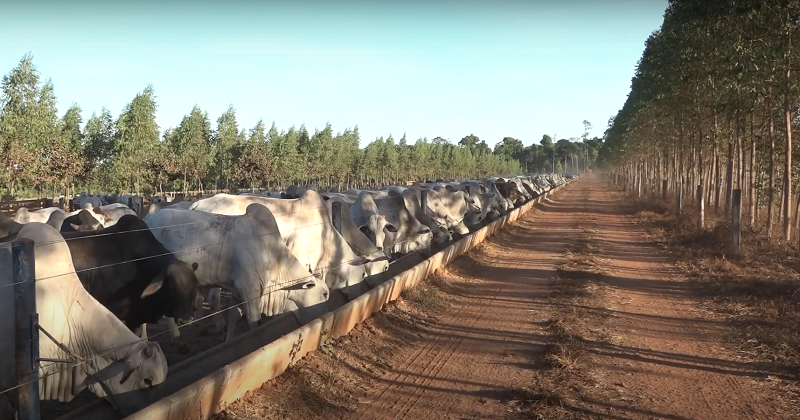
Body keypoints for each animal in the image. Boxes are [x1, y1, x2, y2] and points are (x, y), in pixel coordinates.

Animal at [145, 203, 330, 342]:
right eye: (324, 294)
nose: (325, 316)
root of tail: (148, 218)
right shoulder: (250, 289)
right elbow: (253, 321)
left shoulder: (236, 290)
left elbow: (234, 316)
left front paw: (229, 342)